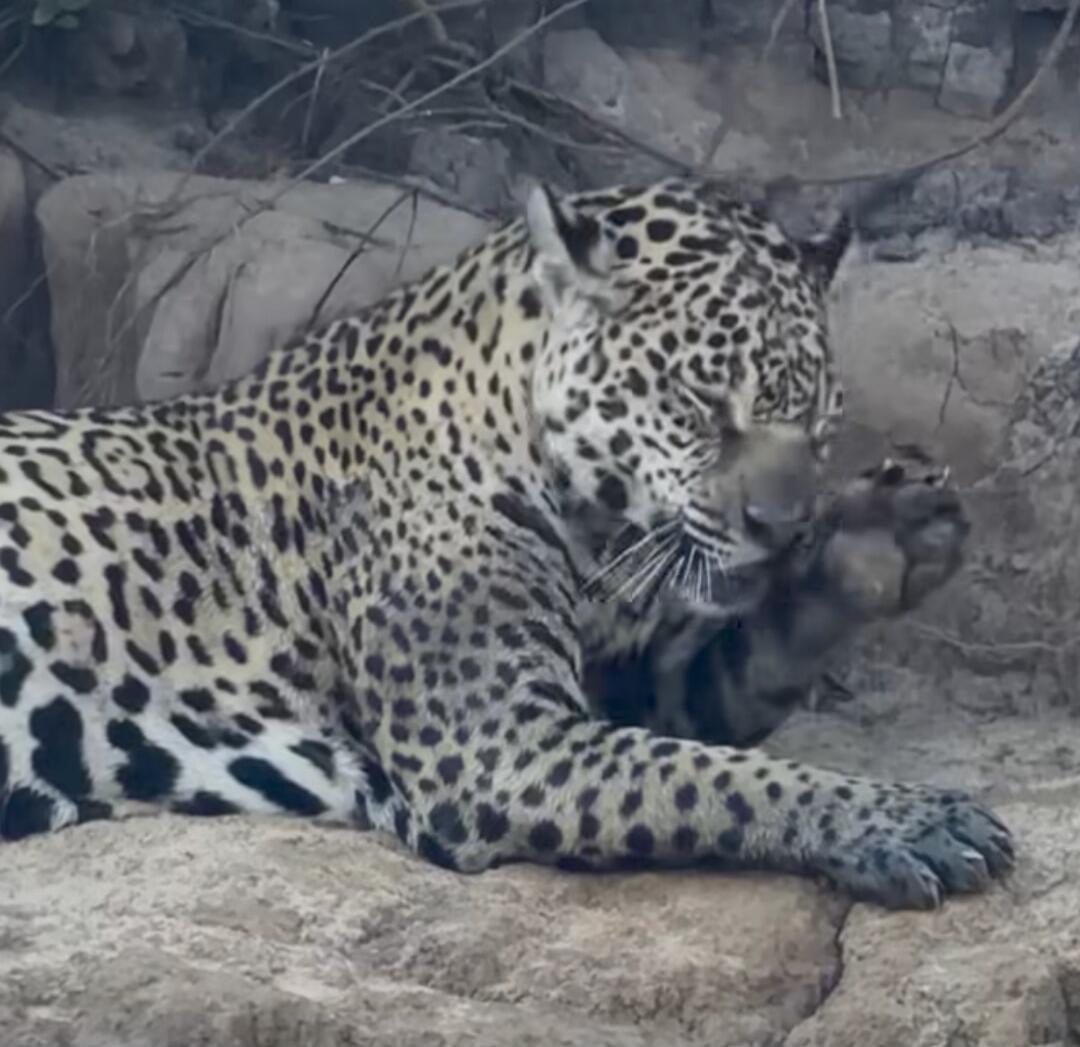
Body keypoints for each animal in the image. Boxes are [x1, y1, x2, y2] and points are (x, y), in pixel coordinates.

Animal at [0, 177, 1012, 910]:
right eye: (699, 400)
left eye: (821, 420)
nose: (783, 525)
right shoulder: (497, 744)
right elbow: (725, 779)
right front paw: (911, 821)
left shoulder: (614, 687)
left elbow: (731, 686)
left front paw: (877, 544)